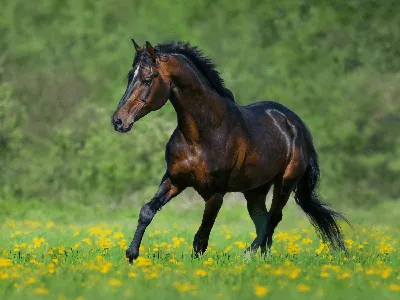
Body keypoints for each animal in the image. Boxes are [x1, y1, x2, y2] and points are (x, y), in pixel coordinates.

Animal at [110, 38, 346, 262]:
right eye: (130, 76)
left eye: (147, 79)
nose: (118, 121)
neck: (203, 134)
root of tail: (298, 125)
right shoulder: (175, 179)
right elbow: (147, 211)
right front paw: (131, 254)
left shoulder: (216, 193)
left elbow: (201, 237)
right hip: (255, 190)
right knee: (263, 220)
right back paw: (262, 258)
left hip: (285, 183)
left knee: (273, 218)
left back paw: (248, 254)